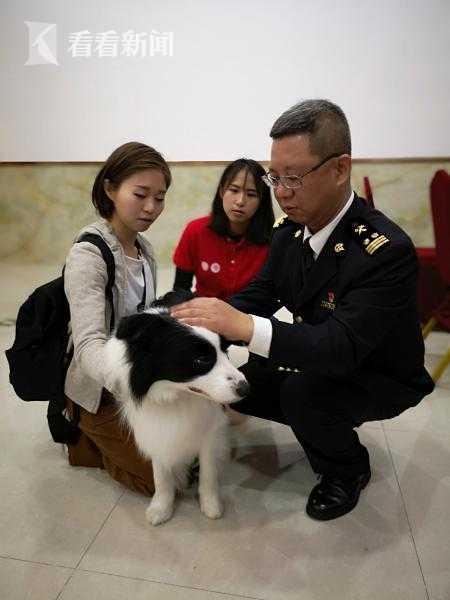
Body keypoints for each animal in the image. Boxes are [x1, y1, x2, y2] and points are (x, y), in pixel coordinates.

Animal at [103, 292, 248, 528]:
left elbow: (208, 471)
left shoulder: (210, 430)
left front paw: (210, 504)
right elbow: (161, 475)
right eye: (201, 360)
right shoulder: (156, 429)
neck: (177, 395)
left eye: (225, 350)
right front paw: (161, 507)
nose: (246, 388)